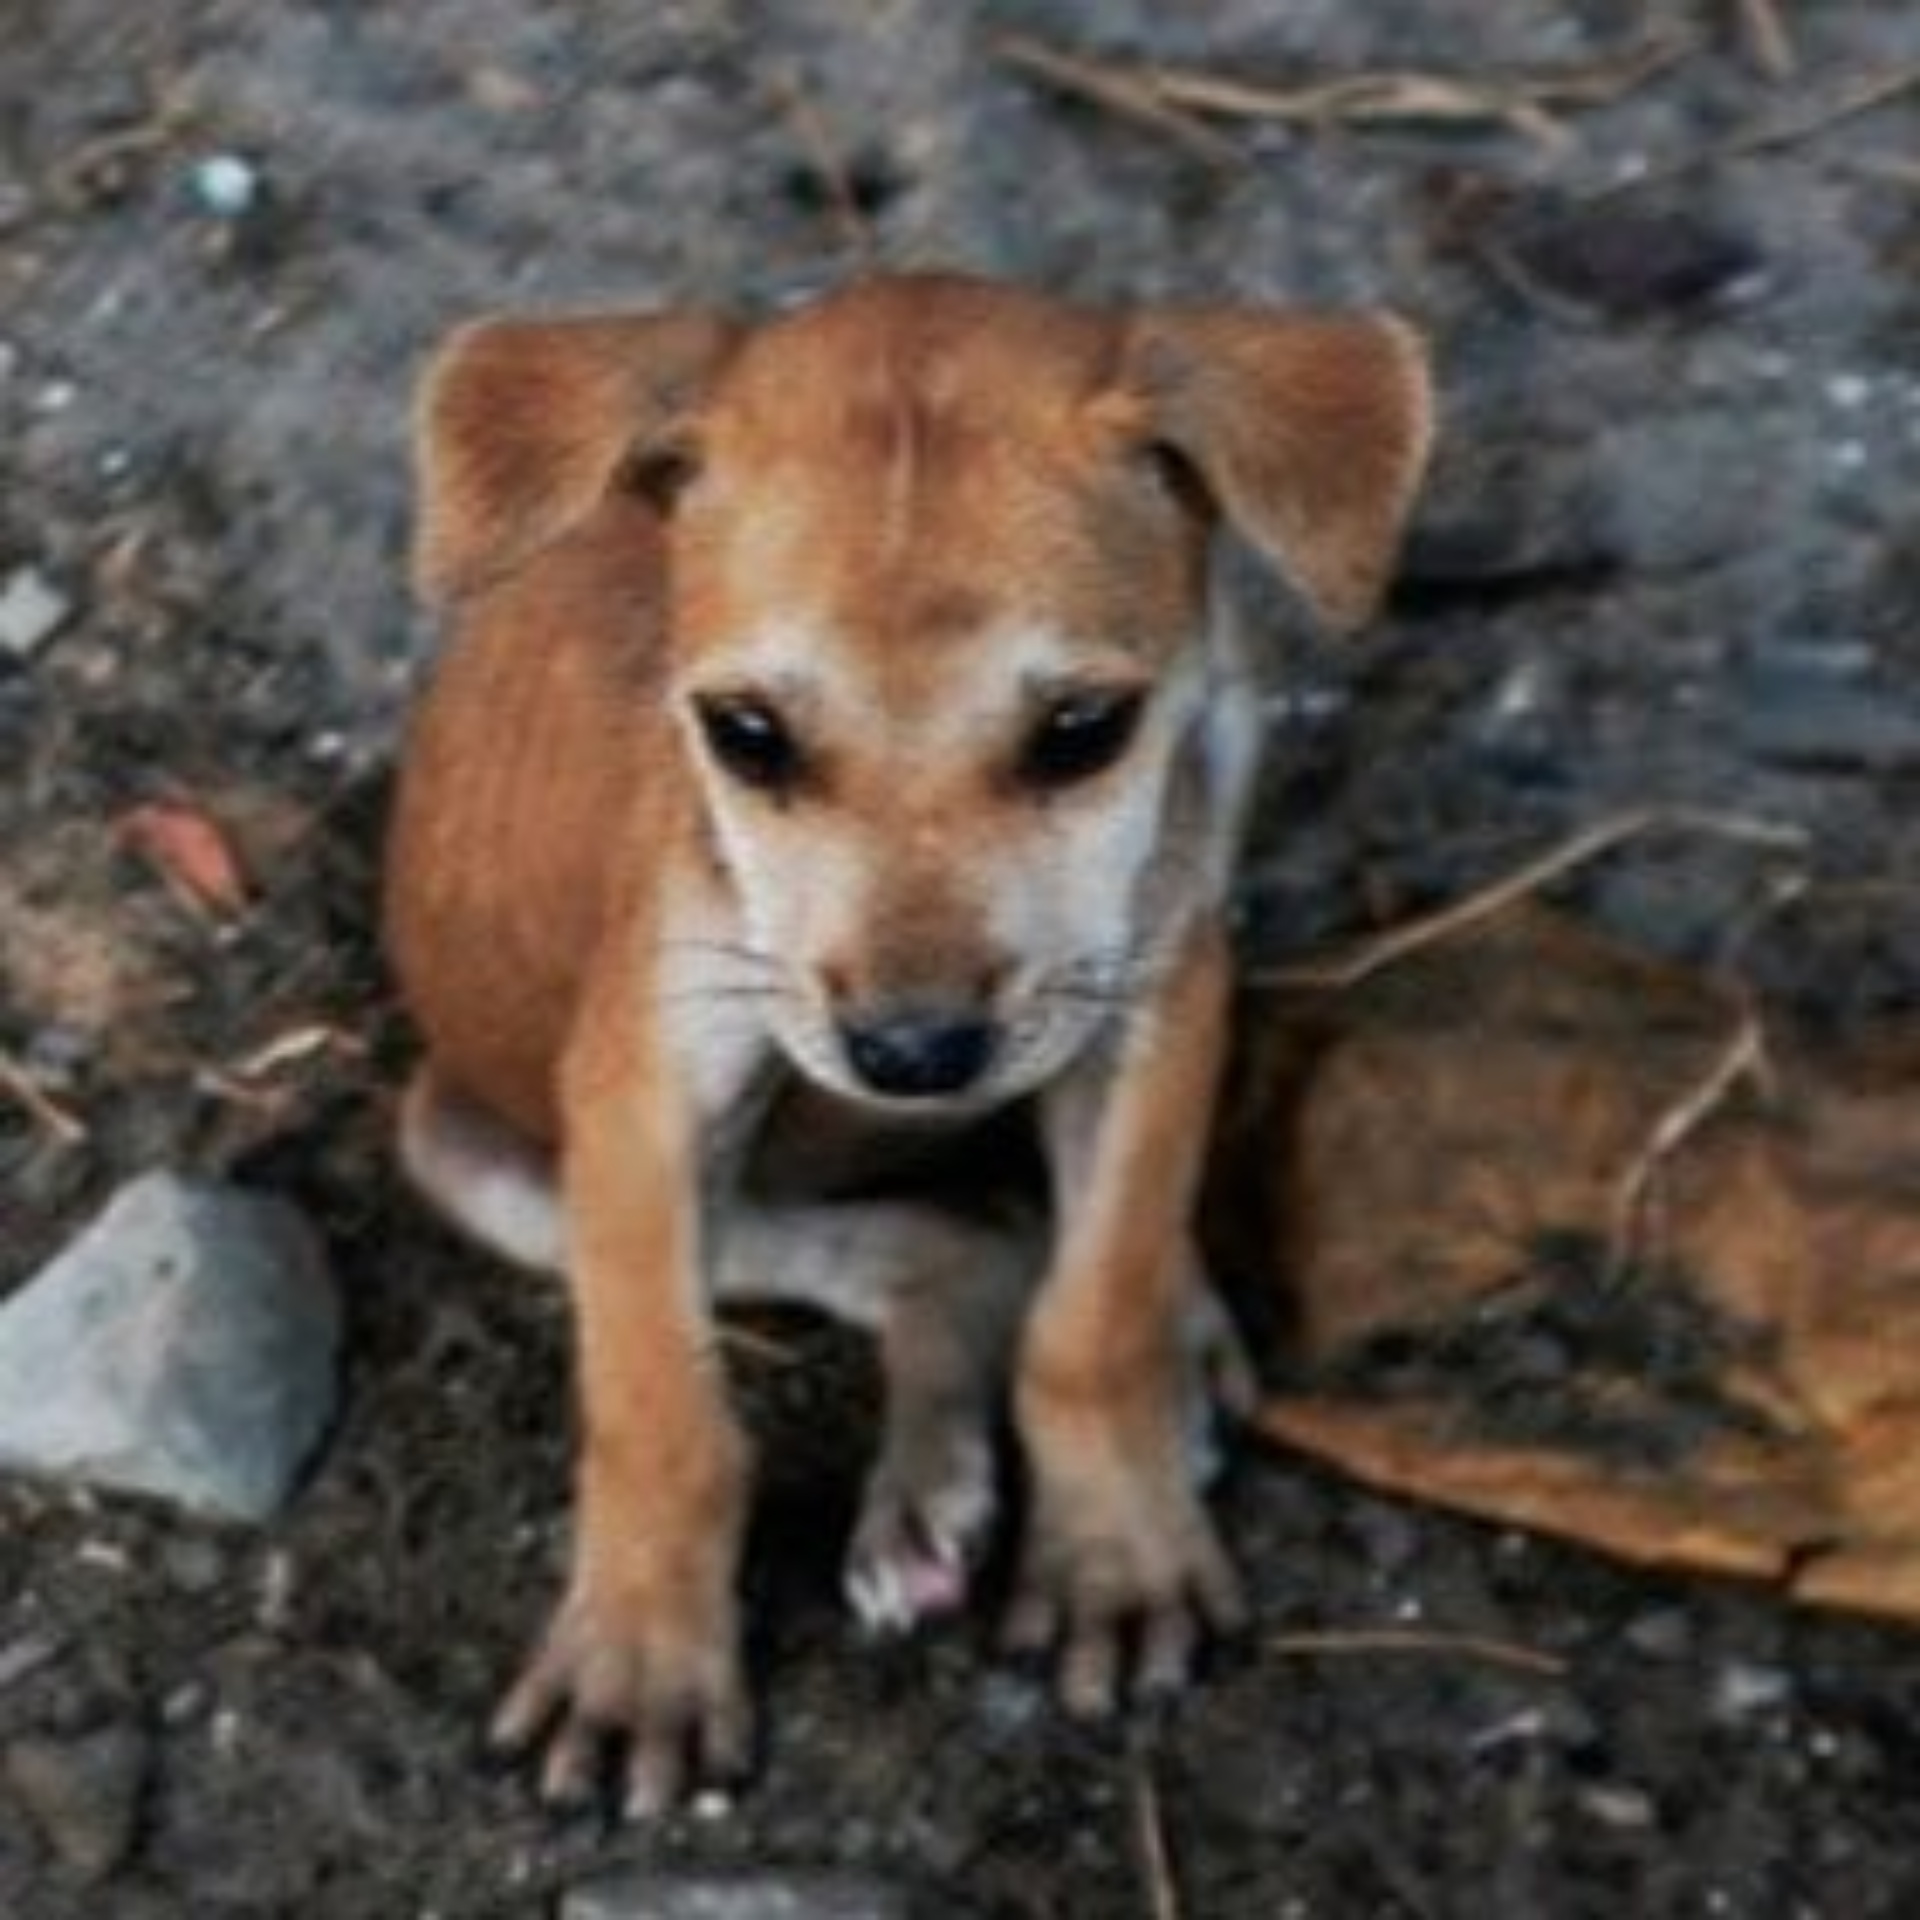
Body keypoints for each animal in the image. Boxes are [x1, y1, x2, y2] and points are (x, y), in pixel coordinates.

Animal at [382, 274, 1428, 1812]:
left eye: (1083, 729)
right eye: (746, 733)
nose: (917, 1059)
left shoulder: (1151, 1007)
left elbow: (1092, 1311)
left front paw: (1115, 1544)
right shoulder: (643, 1097)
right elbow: (662, 1413)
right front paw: (642, 1655)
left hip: (1223, 741)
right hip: (474, 1159)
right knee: (945, 1246)